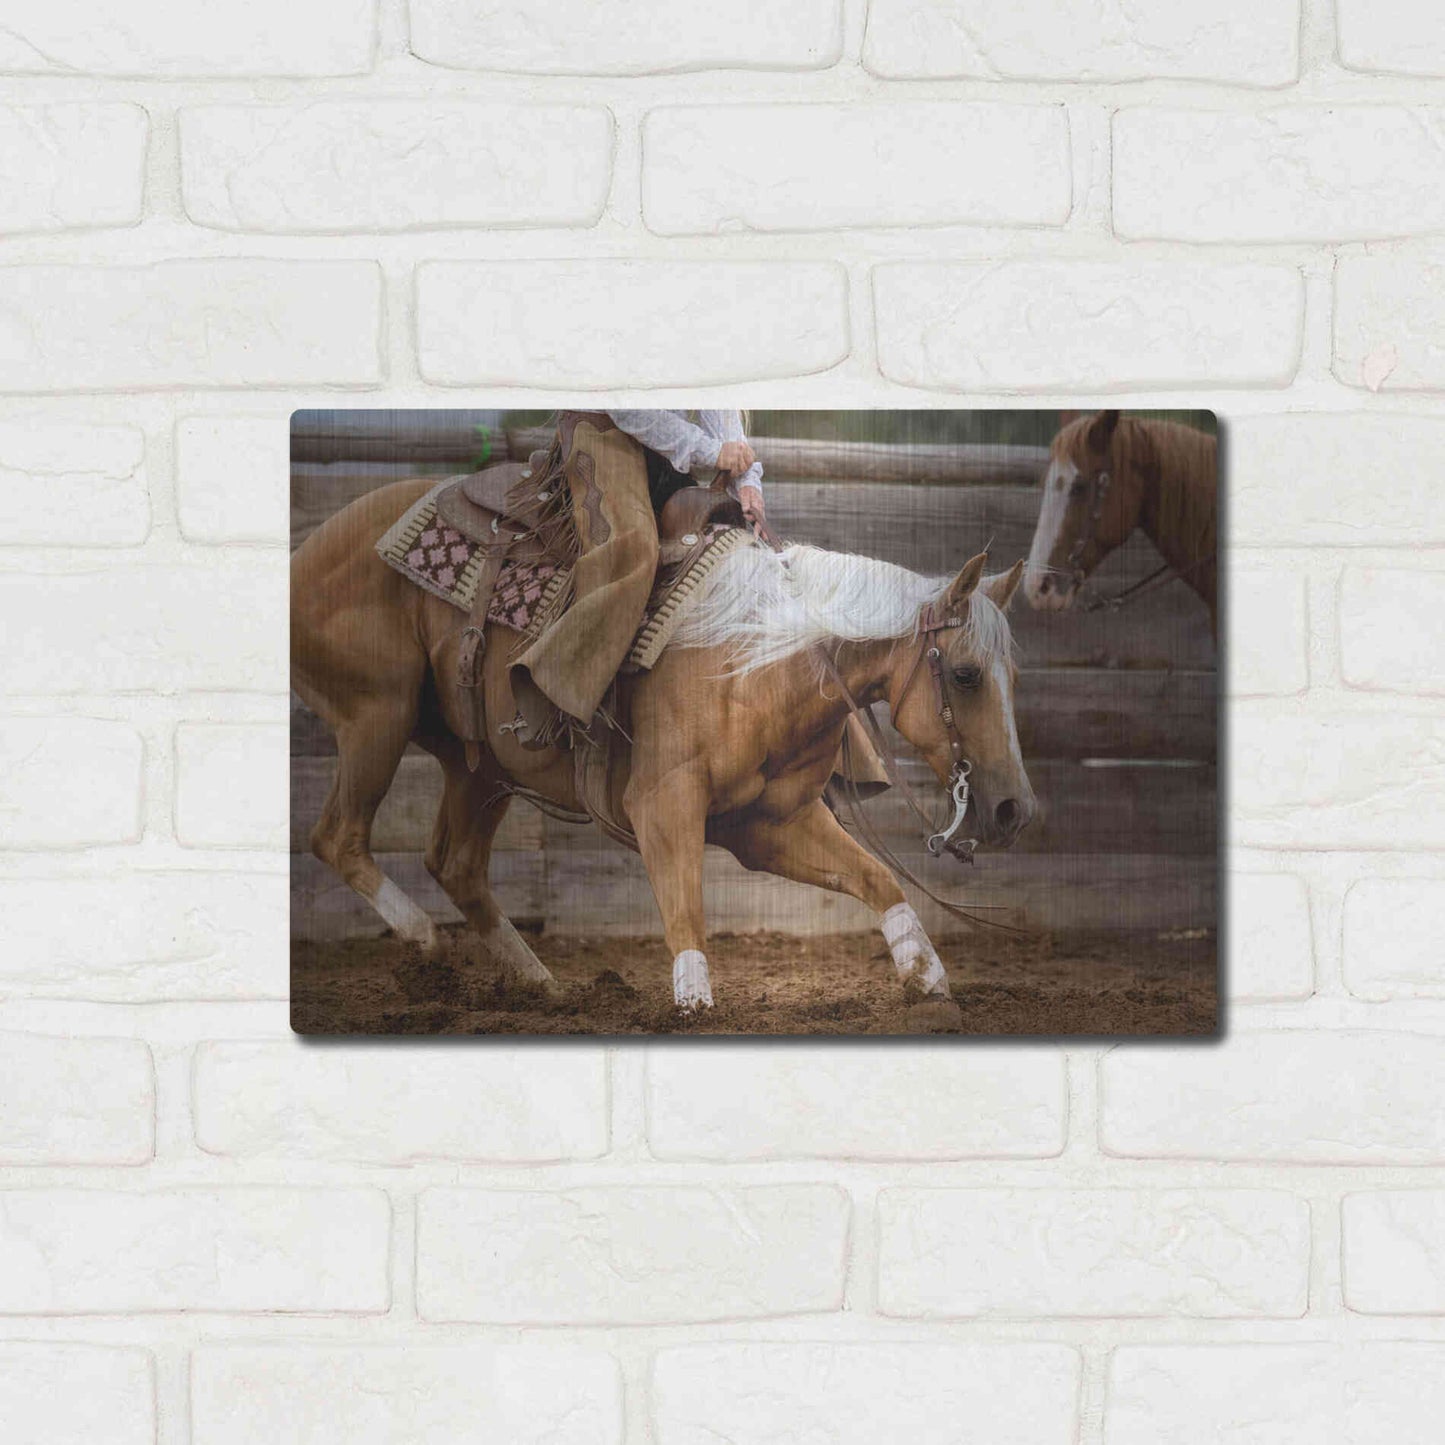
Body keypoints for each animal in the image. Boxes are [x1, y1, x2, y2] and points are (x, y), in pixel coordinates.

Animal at [291, 478, 1037, 1013]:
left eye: (1014, 675)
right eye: (965, 675)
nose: (1014, 811)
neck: (756, 660)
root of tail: (312, 545)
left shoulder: (768, 825)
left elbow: (877, 877)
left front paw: (927, 975)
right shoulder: (662, 802)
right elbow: (685, 905)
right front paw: (693, 999)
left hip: (480, 766)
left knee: (456, 864)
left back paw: (539, 983)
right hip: (376, 715)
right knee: (339, 837)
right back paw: (422, 938)